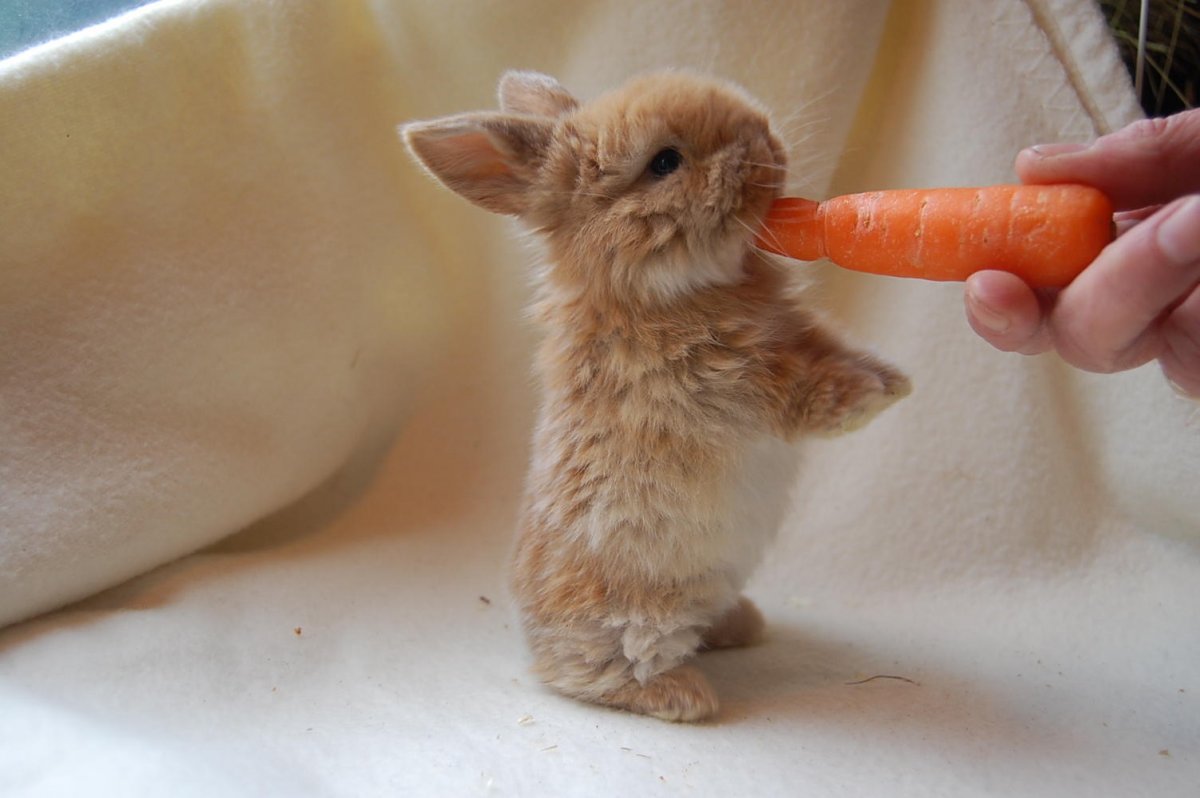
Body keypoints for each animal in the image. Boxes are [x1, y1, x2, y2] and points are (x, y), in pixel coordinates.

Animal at [403, 69, 907, 720]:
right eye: (664, 162)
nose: (766, 141)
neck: (654, 292)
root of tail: (537, 639)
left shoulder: (800, 336)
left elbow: (832, 348)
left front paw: (892, 376)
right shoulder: (739, 385)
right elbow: (812, 395)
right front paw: (878, 396)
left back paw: (741, 625)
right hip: (637, 615)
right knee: (588, 675)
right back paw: (685, 695)